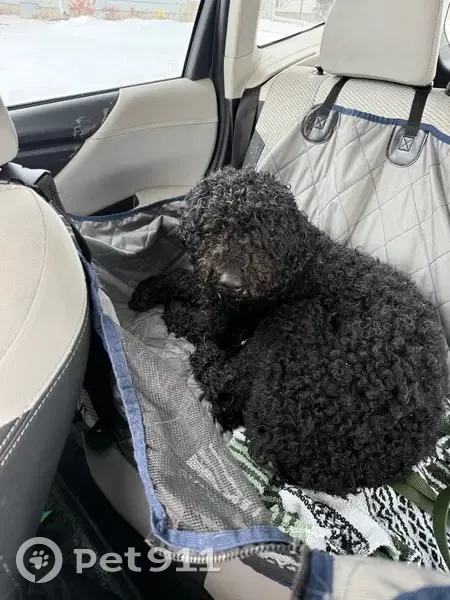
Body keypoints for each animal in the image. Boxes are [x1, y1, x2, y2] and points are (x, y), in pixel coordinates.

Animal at [129, 166, 448, 496]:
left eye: (265, 236)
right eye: (216, 226)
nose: (231, 283)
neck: (299, 260)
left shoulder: (224, 316)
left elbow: (190, 305)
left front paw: (159, 297)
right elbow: (190, 281)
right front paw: (153, 288)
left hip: (295, 318)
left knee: (224, 379)